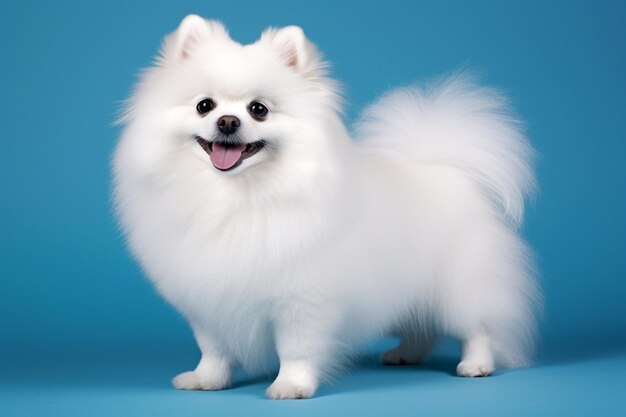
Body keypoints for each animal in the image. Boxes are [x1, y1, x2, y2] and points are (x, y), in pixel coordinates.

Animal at [113, 14, 540, 396]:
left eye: (258, 109)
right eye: (204, 105)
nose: (228, 121)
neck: (238, 196)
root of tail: (443, 168)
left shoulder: (303, 298)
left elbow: (296, 348)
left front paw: (291, 386)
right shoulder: (206, 299)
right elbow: (214, 347)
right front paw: (207, 380)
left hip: (459, 286)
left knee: (478, 326)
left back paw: (476, 364)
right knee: (420, 327)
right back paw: (405, 354)